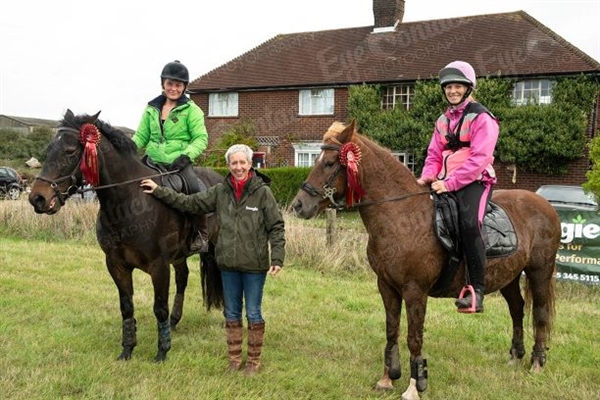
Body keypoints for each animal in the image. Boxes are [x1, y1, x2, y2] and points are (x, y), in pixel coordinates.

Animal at [28, 109, 225, 362]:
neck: (127, 202)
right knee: (183, 278)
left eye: (70, 151)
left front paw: (162, 352)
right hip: (179, 256)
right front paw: (127, 349)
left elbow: (159, 307)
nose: (38, 198)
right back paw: (174, 321)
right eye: (49, 149)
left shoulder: (159, 266)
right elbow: (127, 307)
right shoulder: (116, 264)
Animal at [292, 119, 560, 400]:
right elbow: (392, 330)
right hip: (509, 276)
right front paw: (387, 378)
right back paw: (515, 357)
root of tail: (544, 203)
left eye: (330, 163)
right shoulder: (386, 286)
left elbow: (414, 337)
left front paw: (415, 385)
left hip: (539, 272)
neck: (401, 216)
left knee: (540, 314)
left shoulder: (415, 291)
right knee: (517, 309)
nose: (299, 205)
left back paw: (537, 363)